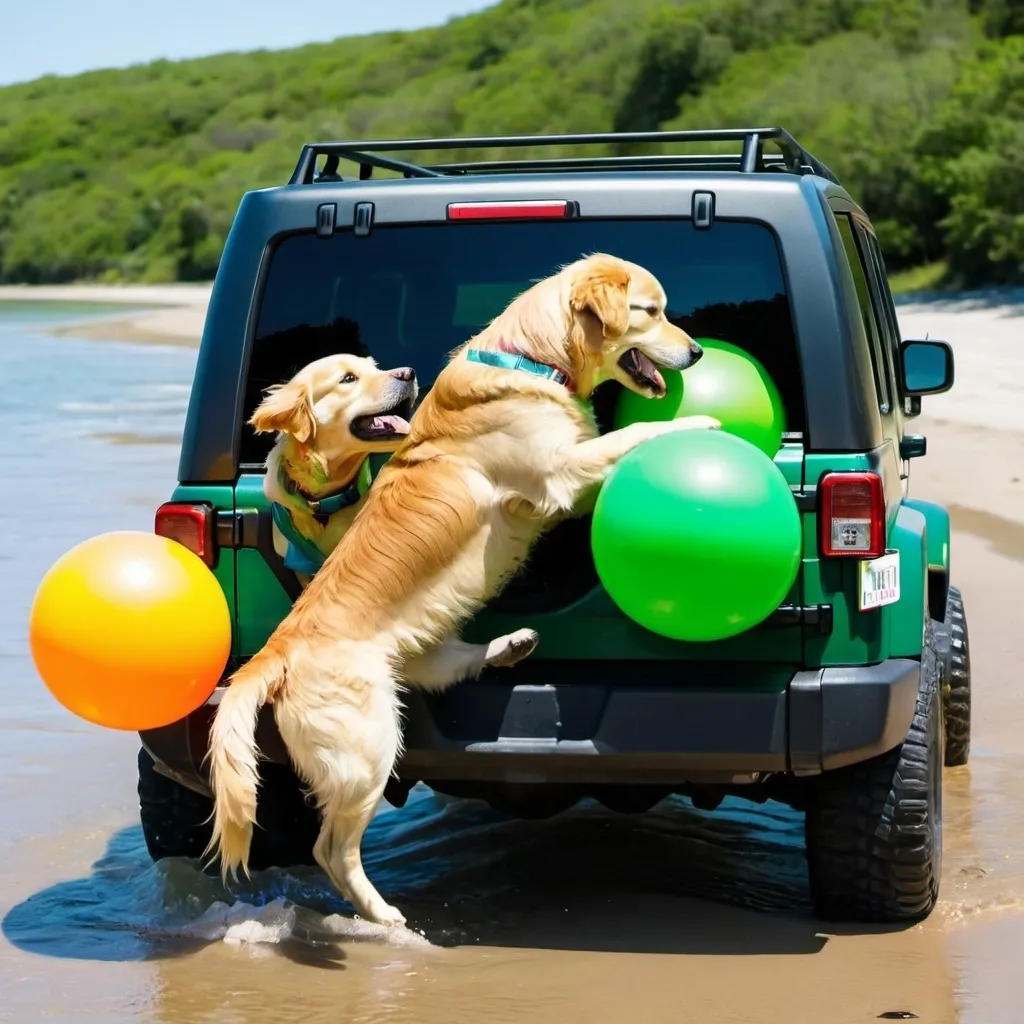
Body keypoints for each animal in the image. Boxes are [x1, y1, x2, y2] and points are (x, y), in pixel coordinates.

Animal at [205, 253, 720, 929]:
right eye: (651, 312)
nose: (698, 352)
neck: (531, 359)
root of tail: (275, 651)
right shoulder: (561, 473)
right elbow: (625, 439)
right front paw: (699, 420)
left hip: (417, 659)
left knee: (452, 665)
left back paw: (512, 644)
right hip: (370, 744)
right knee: (331, 848)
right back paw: (386, 919)